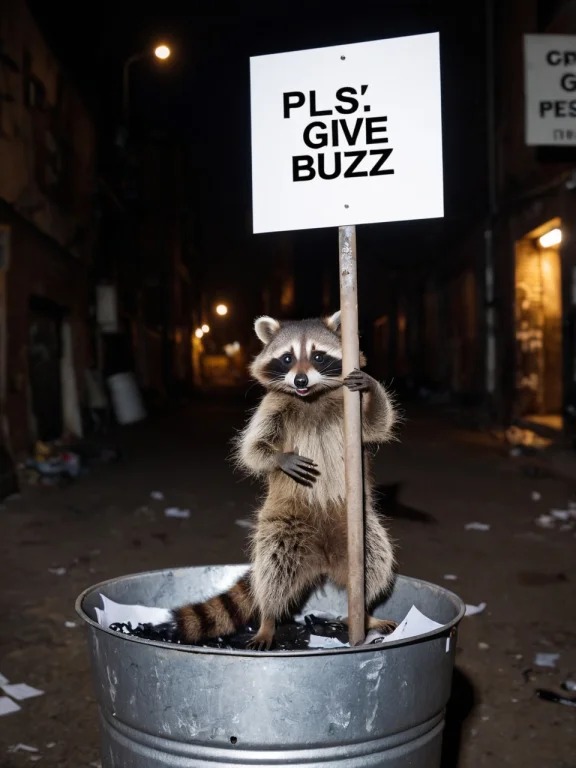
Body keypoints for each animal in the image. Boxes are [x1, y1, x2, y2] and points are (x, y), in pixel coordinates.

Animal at [173, 311, 397, 649]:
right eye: (287, 357)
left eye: (318, 356)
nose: (300, 380)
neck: (312, 397)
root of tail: (322, 561)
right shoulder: (270, 407)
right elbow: (251, 450)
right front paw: (280, 459)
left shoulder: (352, 411)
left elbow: (377, 424)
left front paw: (371, 386)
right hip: (283, 524)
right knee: (274, 570)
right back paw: (268, 619)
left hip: (359, 528)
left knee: (374, 561)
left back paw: (365, 613)